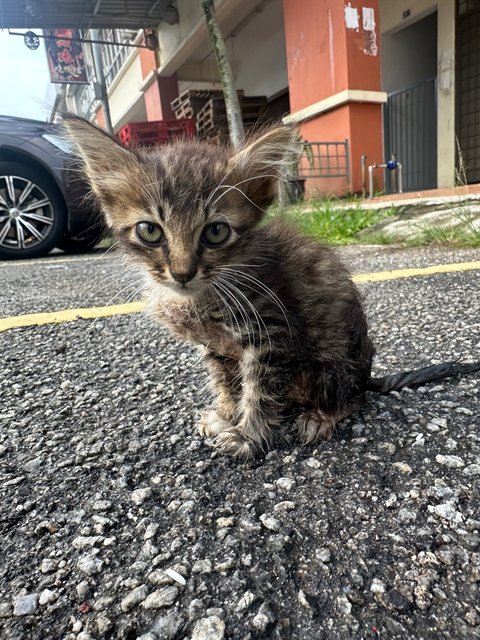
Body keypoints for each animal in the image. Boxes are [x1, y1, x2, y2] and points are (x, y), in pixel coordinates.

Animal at [63, 119, 480, 460]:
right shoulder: (216, 347)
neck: (206, 292)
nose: (182, 272)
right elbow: (226, 382)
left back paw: (322, 415)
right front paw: (226, 414)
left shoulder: (271, 335)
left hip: (331, 363)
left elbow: (259, 392)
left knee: (355, 398)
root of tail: (366, 373)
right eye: (150, 230)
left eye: (216, 232)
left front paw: (248, 436)